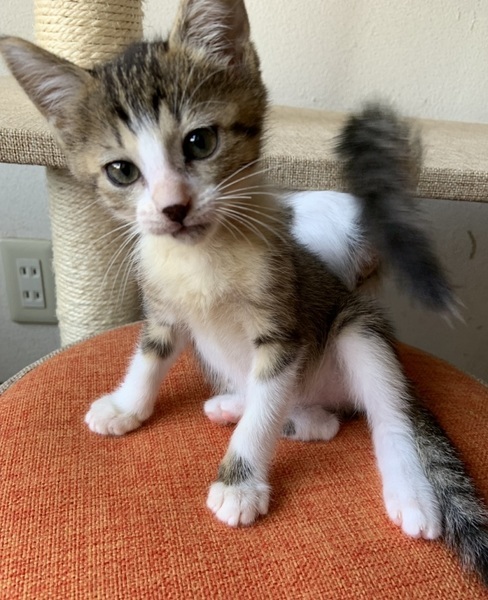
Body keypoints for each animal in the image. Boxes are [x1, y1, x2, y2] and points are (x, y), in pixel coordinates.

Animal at [1, 0, 486, 585]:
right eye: (121, 171)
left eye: (199, 142)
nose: (173, 208)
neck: (202, 257)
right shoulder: (164, 310)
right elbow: (150, 357)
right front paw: (126, 406)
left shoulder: (283, 329)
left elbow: (266, 411)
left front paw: (239, 483)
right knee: (312, 416)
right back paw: (248, 407)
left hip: (358, 328)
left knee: (383, 414)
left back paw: (410, 492)